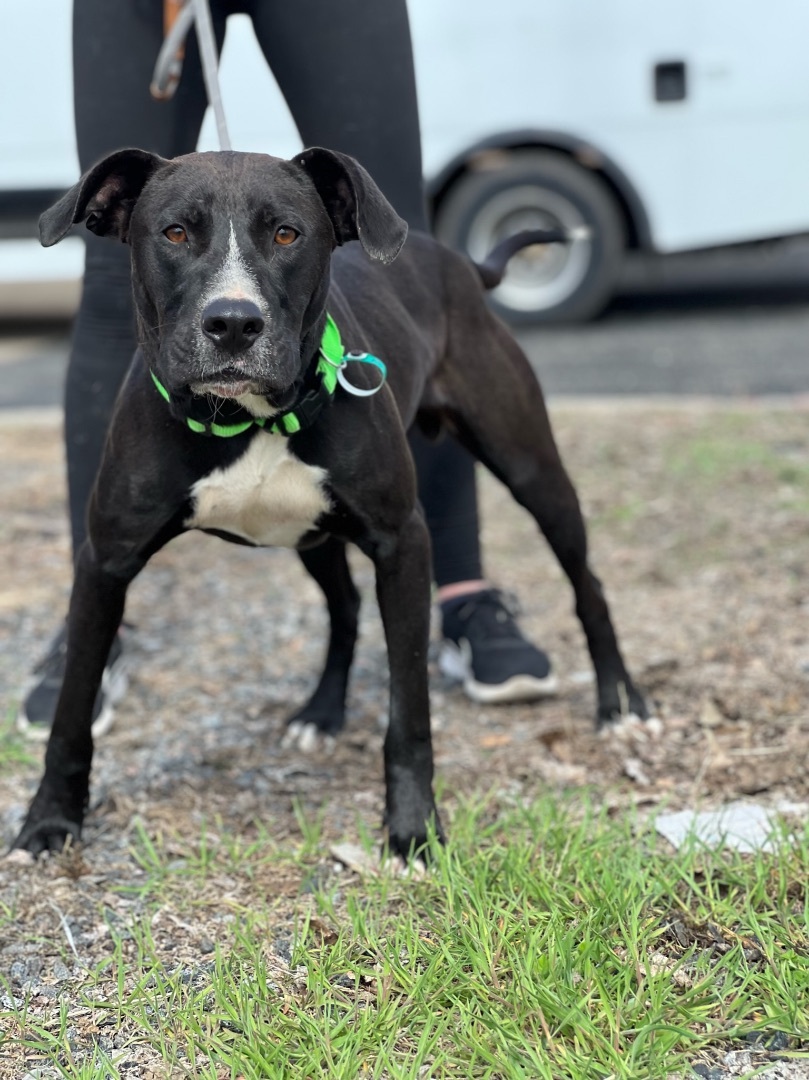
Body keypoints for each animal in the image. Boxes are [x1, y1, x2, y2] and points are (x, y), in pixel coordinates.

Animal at [12, 147, 643, 859]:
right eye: (175, 232)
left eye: (287, 234)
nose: (234, 323)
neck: (247, 420)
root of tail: (454, 259)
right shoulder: (105, 562)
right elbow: (71, 712)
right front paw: (49, 820)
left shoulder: (403, 543)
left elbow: (409, 711)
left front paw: (413, 829)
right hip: (310, 536)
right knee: (344, 608)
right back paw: (320, 714)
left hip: (531, 469)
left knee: (587, 583)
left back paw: (620, 704)